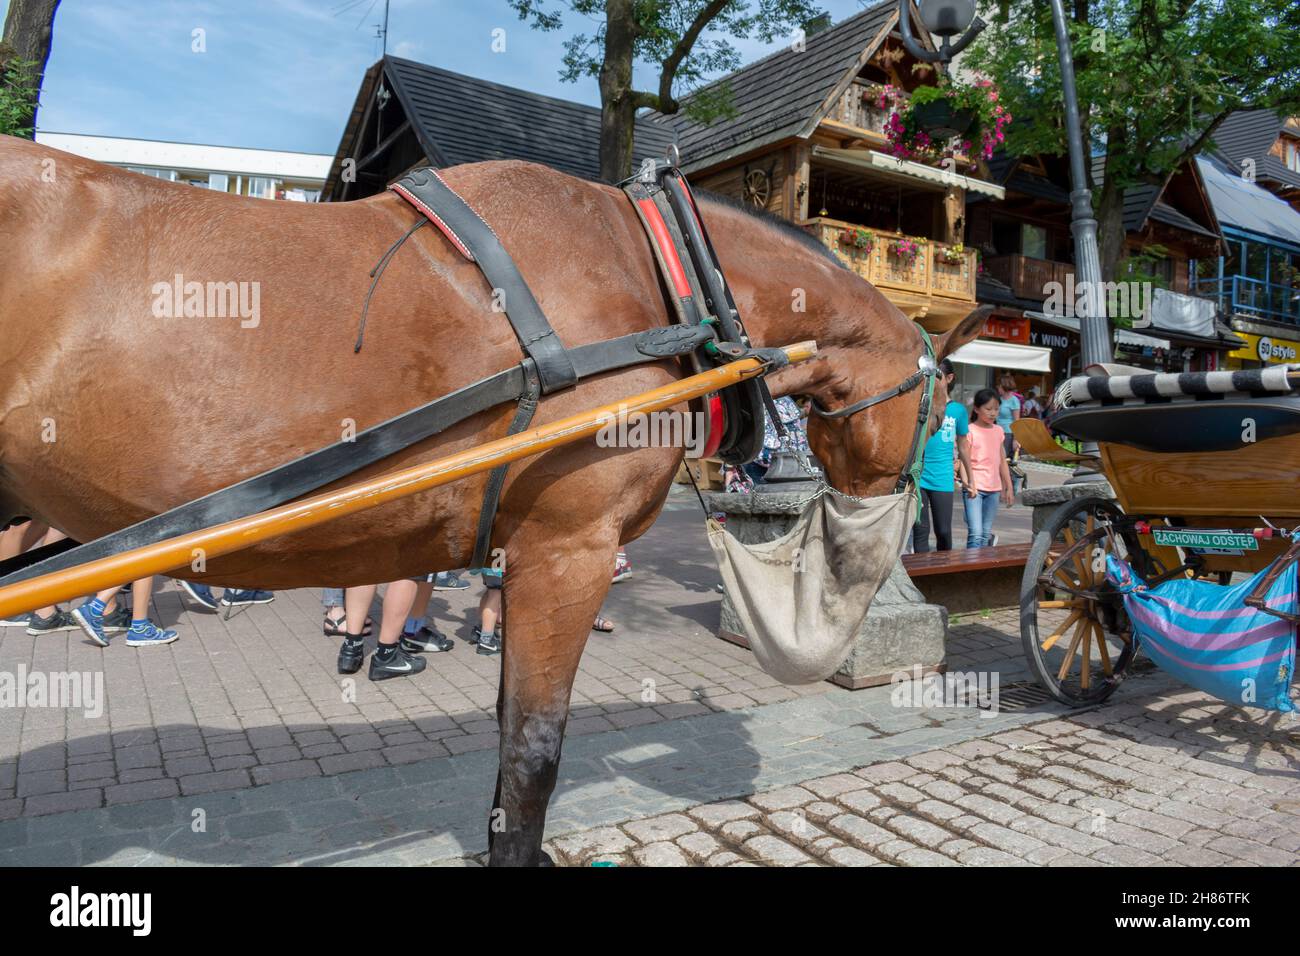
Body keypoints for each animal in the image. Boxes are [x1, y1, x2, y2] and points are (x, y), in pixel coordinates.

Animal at [0, 136, 987, 868]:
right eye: (942, 397)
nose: (887, 513)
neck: (657, 276)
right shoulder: (569, 548)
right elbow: (533, 755)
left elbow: (511, 742)